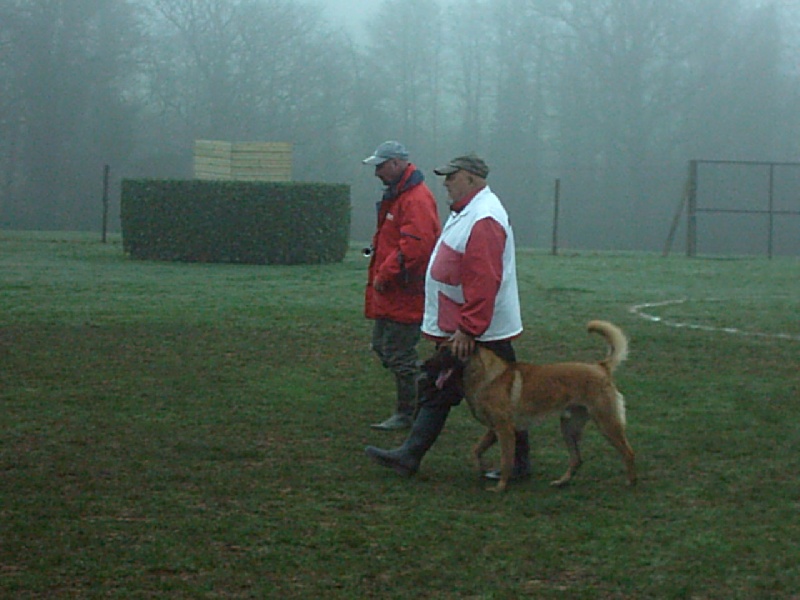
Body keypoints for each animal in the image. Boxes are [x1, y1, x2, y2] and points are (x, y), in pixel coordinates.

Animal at [432, 322, 636, 494]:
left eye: (445, 352)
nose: (426, 367)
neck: (486, 376)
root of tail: (601, 367)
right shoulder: (494, 430)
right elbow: (476, 450)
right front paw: (481, 469)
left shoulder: (505, 431)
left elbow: (506, 461)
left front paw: (500, 488)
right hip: (568, 428)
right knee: (577, 459)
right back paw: (562, 482)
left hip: (607, 425)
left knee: (629, 452)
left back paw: (630, 482)